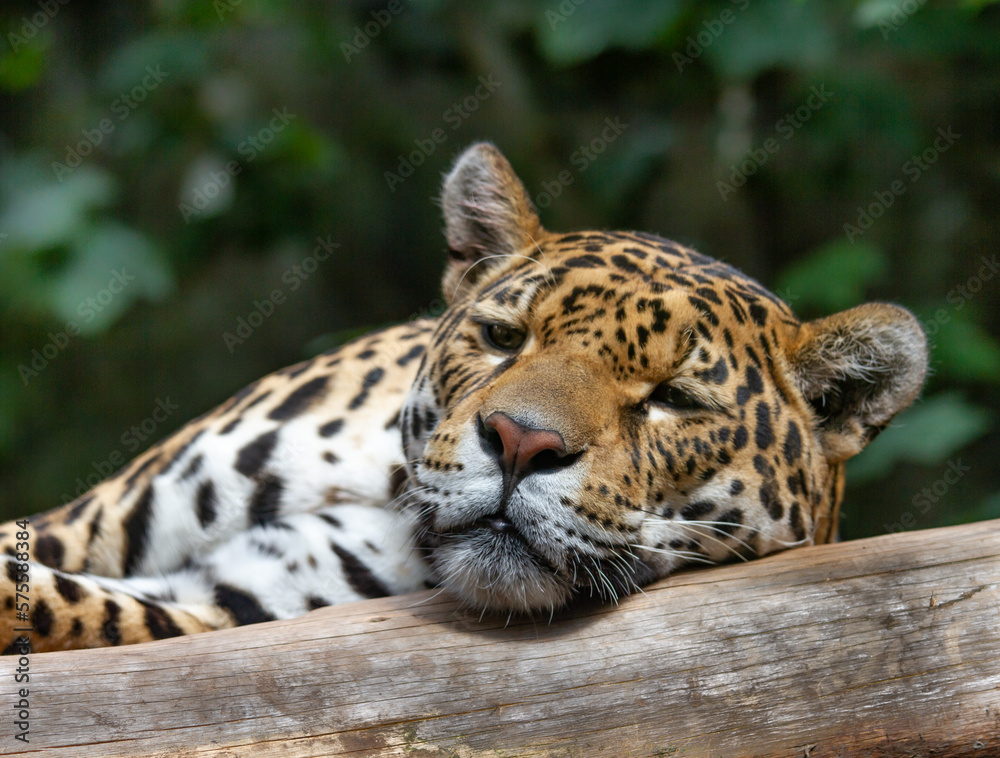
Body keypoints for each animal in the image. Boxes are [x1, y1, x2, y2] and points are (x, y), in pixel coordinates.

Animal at [0, 142, 928, 653]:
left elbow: (53, 605)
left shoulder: (234, 605)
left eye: (674, 398)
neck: (378, 488)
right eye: (504, 338)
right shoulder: (87, 523)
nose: (519, 443)